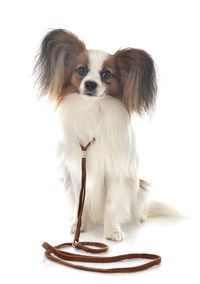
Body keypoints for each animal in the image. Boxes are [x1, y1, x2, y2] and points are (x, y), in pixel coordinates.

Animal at [35, 28, 166, 241]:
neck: (92, 109)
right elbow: (78, 202)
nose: (90, 84)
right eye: (81, 70)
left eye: (106, 74)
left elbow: (111, 204)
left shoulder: (116, 171)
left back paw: (139, 217)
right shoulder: (76, 170)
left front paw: (112, 231)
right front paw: (79, 224)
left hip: (139, 187)